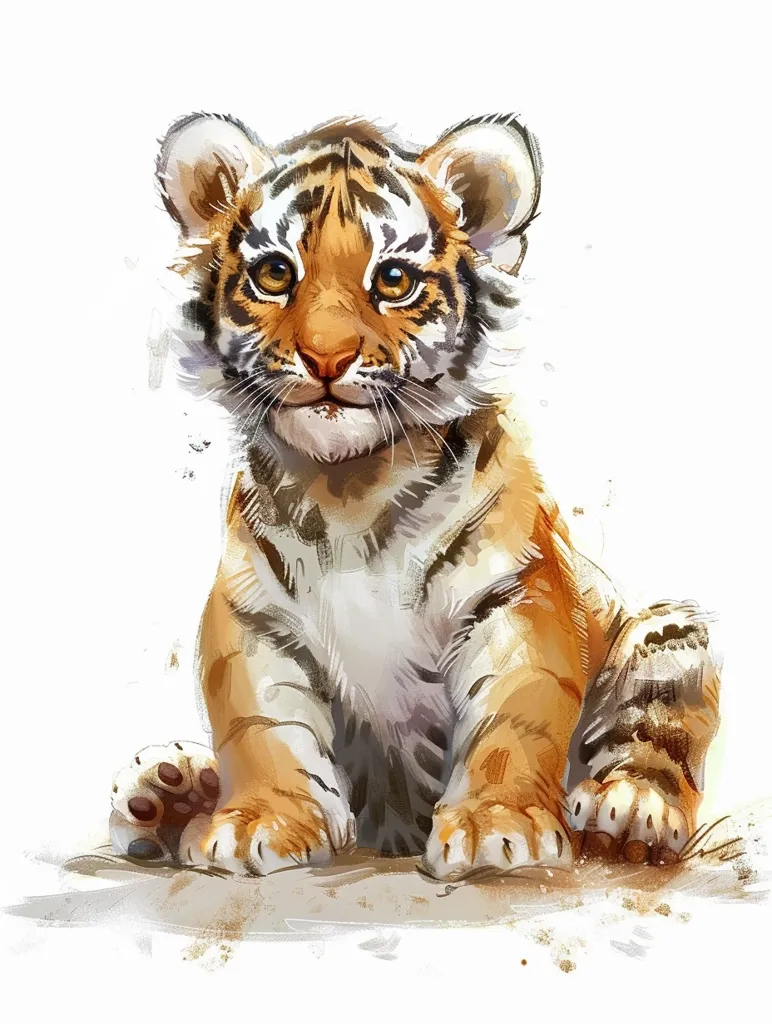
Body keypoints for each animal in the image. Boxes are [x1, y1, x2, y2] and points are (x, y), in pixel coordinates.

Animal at [108, 112, 721, 879]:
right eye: (275, 273)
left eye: (393, 279)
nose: (327, 356)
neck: (349, 488)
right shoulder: (253, 617)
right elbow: (260, 725)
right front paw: (258, 820)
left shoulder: (515, 596)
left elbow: (514, 715)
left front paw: (498, 824)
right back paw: (168, 790)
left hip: (669, 632)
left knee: (656, 727)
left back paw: (629, 808)